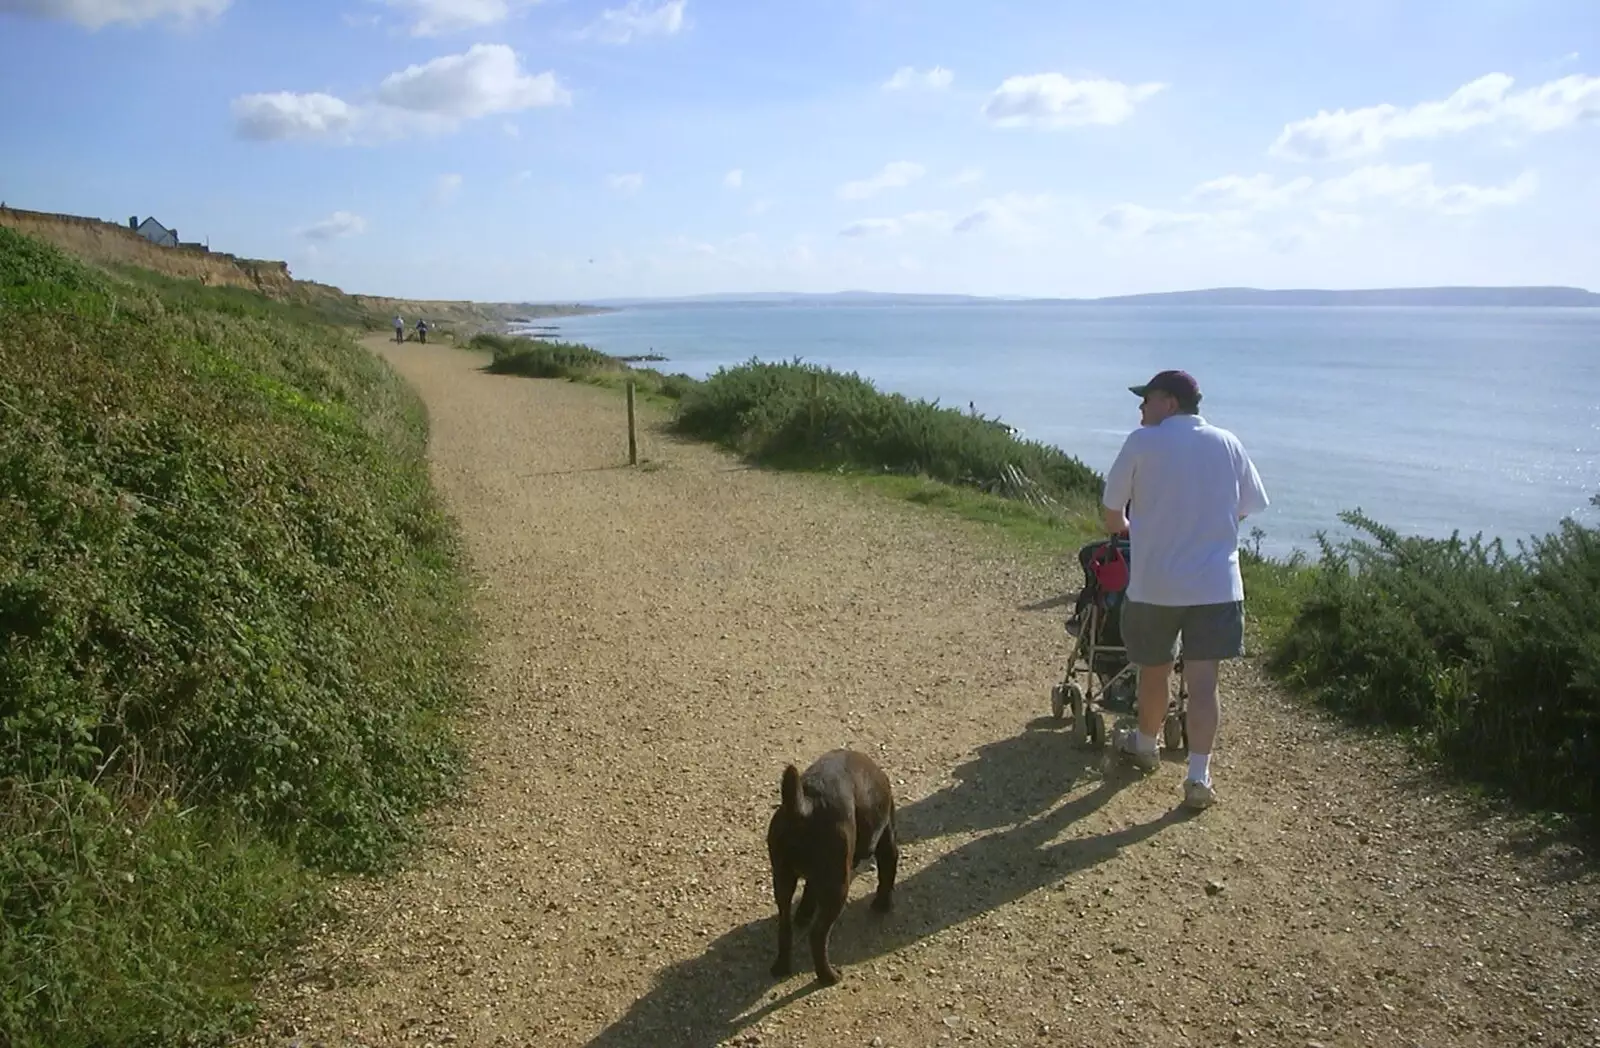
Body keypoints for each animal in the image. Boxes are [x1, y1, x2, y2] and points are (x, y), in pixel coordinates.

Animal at [764, 748, 902, 985]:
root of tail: (804, 805)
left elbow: (809, 892)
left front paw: (804, 913)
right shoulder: (886, 839)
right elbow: (887, 872)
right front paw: (882, 905)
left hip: (783, 878)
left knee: (785, 927)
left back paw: (781, 967)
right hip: (837, 887)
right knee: (817, 936)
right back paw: (829, 976)